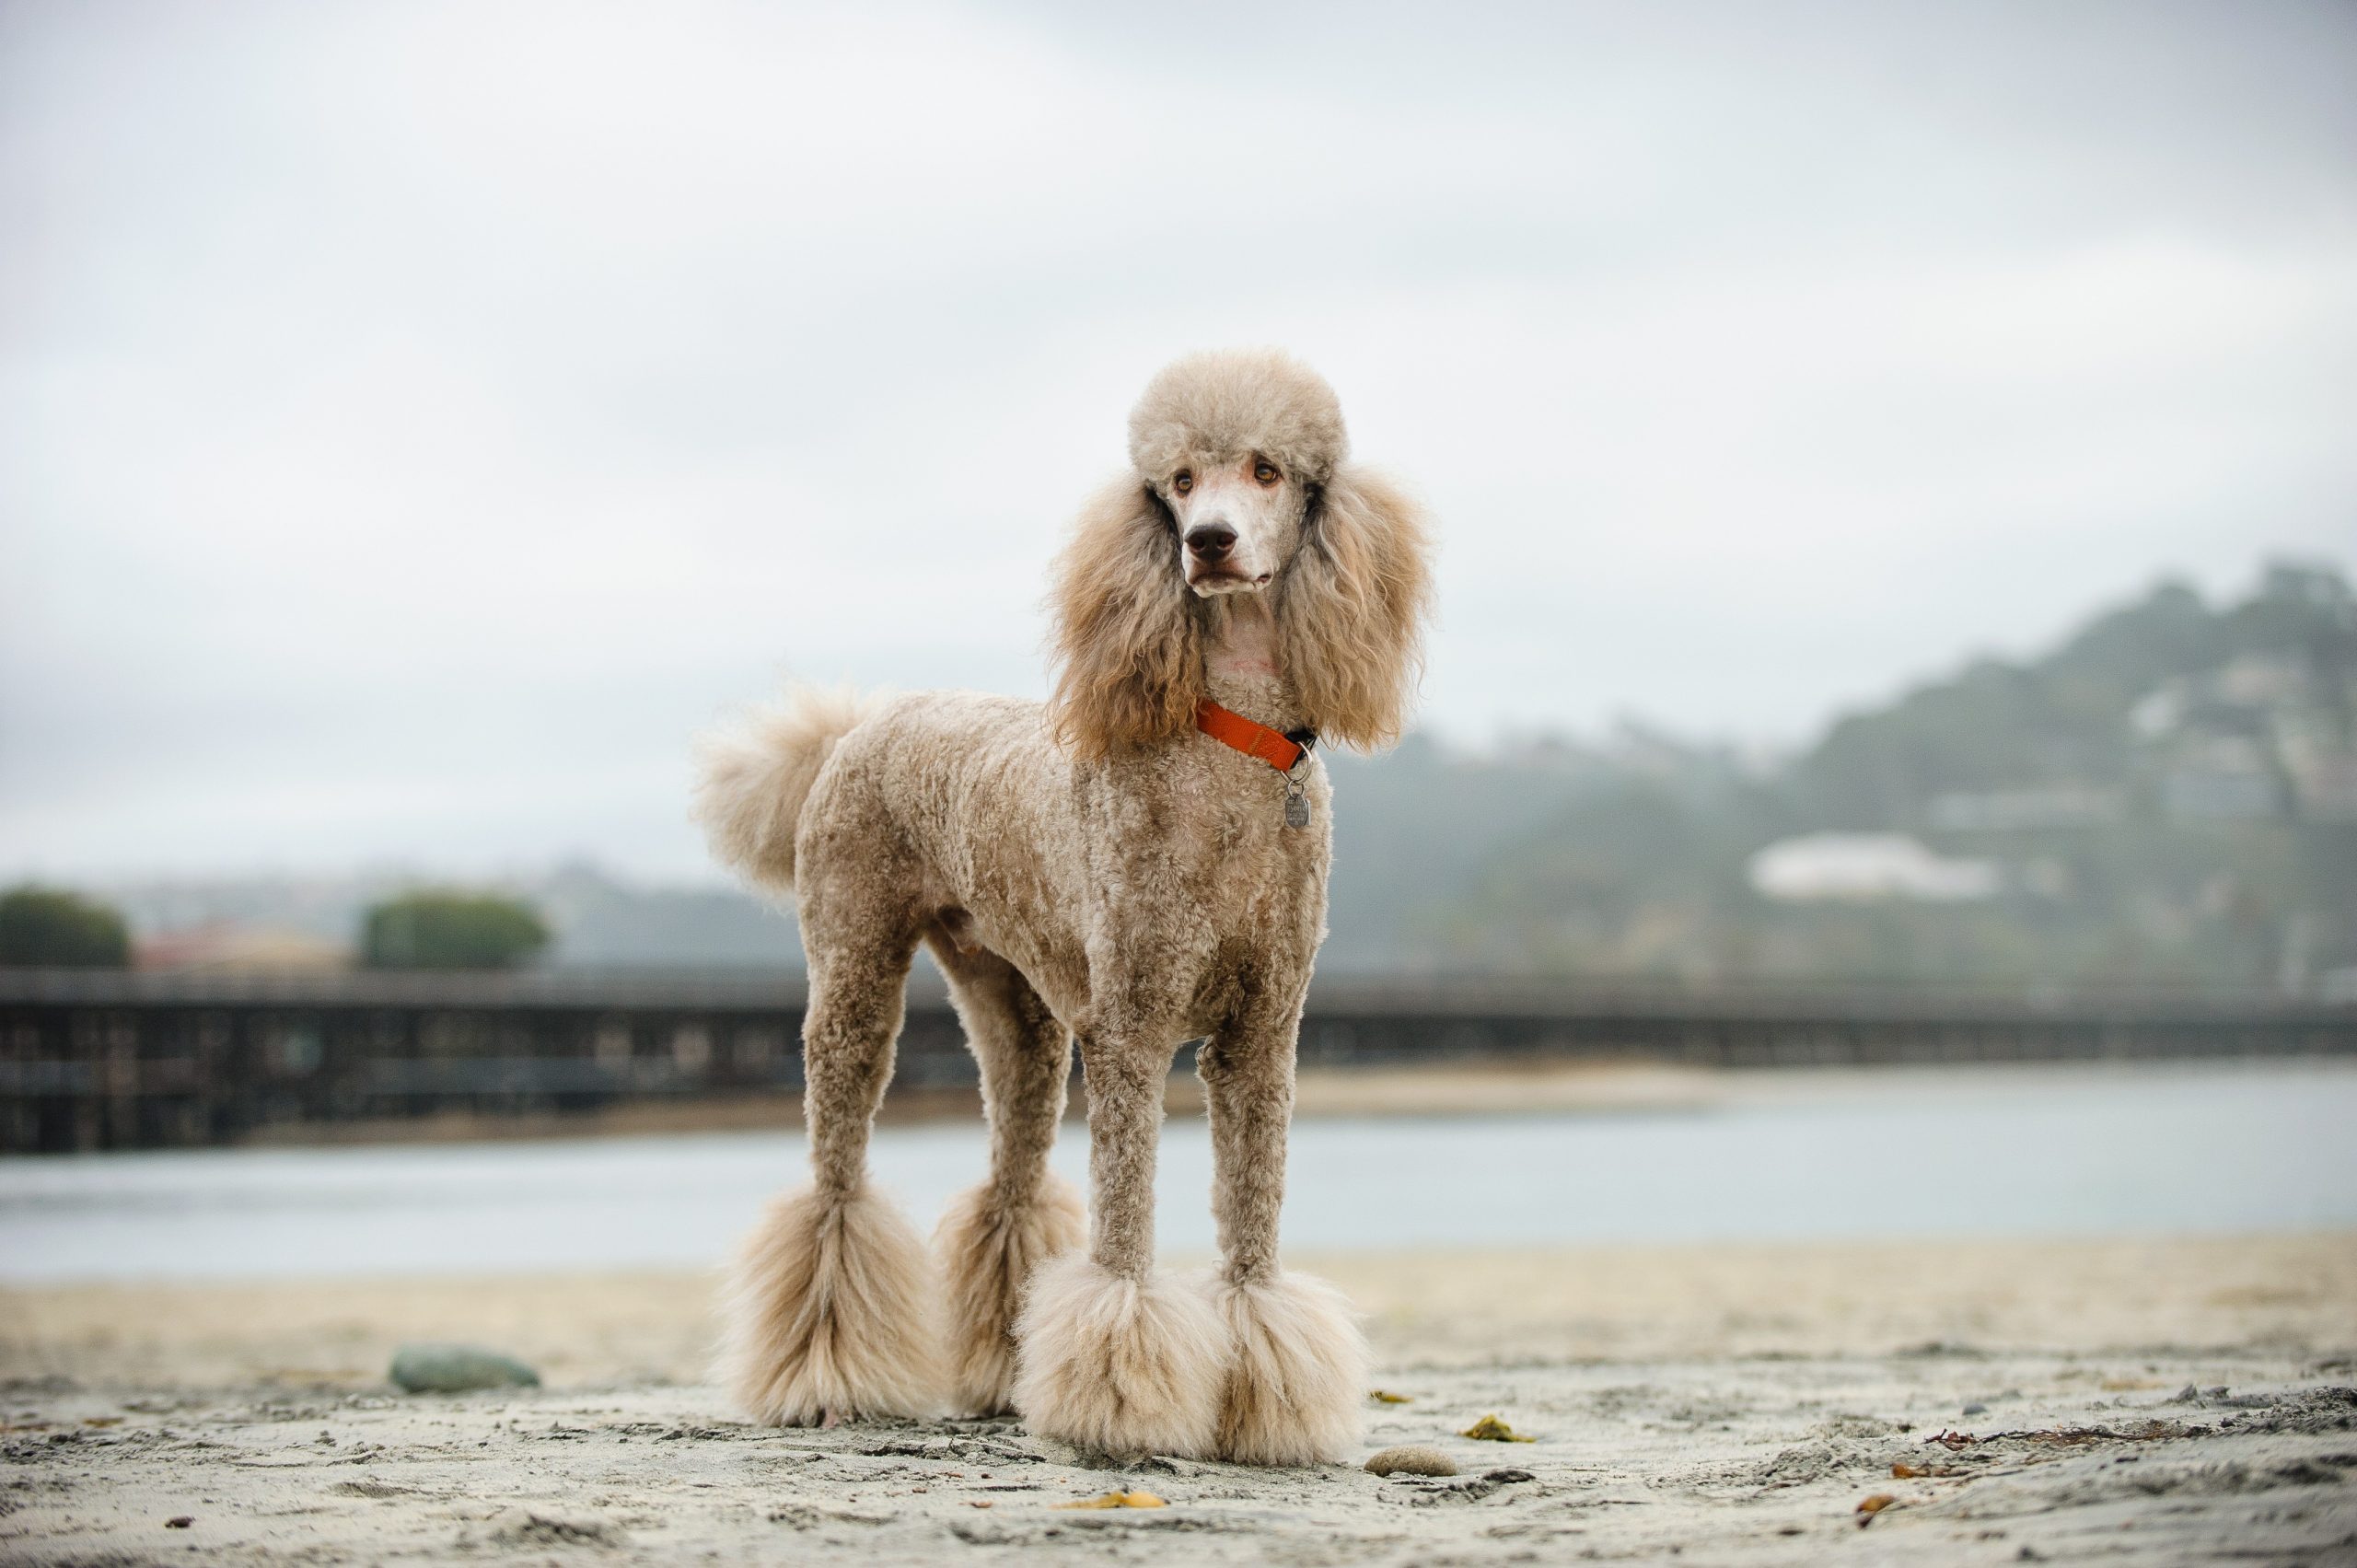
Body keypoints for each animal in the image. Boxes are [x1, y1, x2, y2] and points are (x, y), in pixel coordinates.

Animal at [692, 349, 1433, 1461]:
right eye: (1176, 482)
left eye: (1267, 470)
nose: (1208, 544)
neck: (1227, 744)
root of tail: (856, 727)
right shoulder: (1131, 1024)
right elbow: (1124, 1229)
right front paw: (1119, 1399)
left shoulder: (1262, 1034)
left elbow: (1251, 1230)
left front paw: (1264, 1404)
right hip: (856, 968)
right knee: (834, 1186)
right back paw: (824, 1378)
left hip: (1016, 1008)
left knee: (1009, 1183)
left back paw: (1004, 1369)